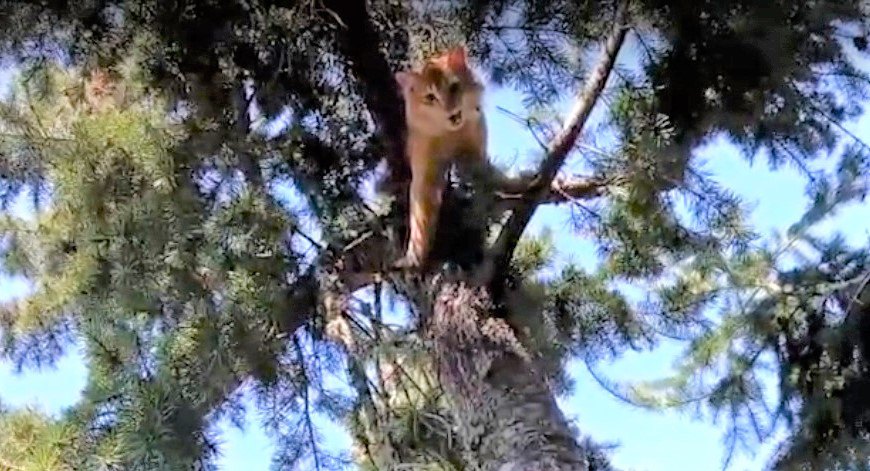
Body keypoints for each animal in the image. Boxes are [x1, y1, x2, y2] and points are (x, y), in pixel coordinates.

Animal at [396, 47, 490, 270]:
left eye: (454, 86)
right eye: (430, 97)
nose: (451, 113)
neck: (448, 135)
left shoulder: (475, 154)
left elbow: (480, 187)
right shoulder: (425, 175)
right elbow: (420, 218)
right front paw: (414, 256)